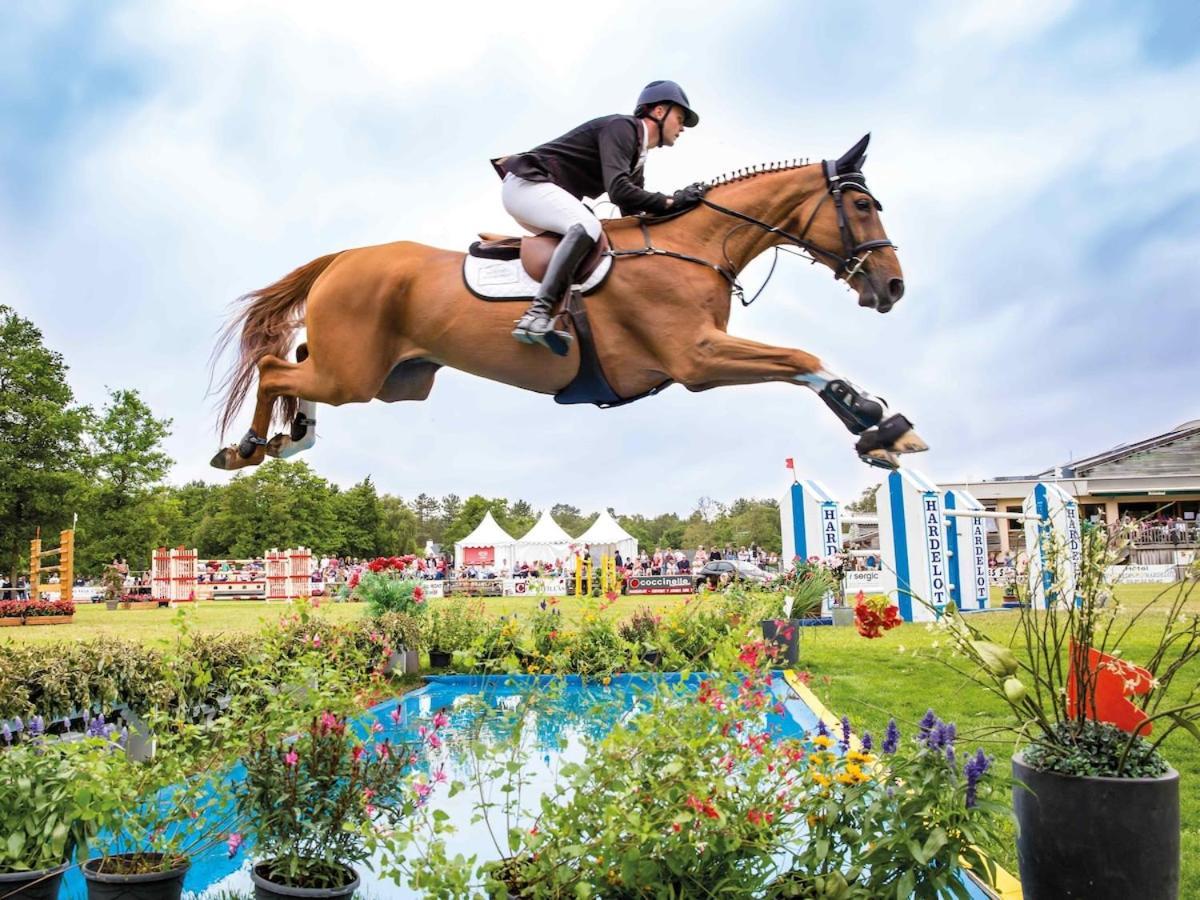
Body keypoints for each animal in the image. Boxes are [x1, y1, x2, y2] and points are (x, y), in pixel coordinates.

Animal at [211, 135, 926, 472]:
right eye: (862, 204)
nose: (892, 287)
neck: (693, 246)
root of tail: (344, 257)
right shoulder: (695, 359)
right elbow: (800, 357)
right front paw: (880, 424)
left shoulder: (701, 356)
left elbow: (802, 363)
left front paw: (882, 434)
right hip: (356, 374)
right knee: (275, 369)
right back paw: (249, 446)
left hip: (391, 379)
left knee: (297, 360)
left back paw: (292, 438)